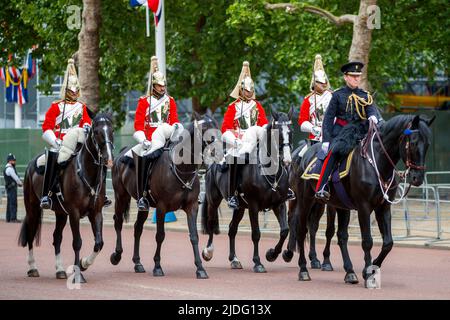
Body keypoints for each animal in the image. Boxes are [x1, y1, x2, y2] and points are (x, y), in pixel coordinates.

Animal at [18, 114, 114, 282]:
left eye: (112, 130)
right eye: (96, 132)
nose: (108, 159)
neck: (85, 172)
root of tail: (31, 164)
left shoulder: (96, 213)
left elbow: (99, 243)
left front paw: (84, 263)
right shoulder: (74, 213)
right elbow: (77, 242)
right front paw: (78, 274)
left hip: (61, 213)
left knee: (57, 237)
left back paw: (60, 270)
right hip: (32, 209)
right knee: (30, 234)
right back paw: (33, 268)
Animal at [111, 112, 219, 278]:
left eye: (217, 127)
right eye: (205, 129)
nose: (219, 152)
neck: (182, 168)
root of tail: (121, 154)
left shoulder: (192, 207)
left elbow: (194, 236)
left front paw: (200, 268)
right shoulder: (162, 207)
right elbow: (160, 235)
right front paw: (157, 266)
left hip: (143, 205)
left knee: (137, 228)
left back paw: (138, 263)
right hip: (120, 196)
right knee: (118, 222)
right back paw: (117, 255)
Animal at [201, 108, 294, 272]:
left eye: (291, 131)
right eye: (277, 132)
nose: (287, 160)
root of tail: (212, 165)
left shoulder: (279, 204)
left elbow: (284, 230)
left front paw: (272, 254)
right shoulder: (253, 206)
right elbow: (256, 233)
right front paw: (258, 262)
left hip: (239, 208)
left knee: (232, 228)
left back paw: (234, 259)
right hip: (214, 201)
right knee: (212, 223)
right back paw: (208, 251)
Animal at [284, 139, 336, 272]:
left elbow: (330, 230)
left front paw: (326, 262)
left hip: (317, 205)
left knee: (312, 226)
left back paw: (314, 258)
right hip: (296, 199)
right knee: (292, 219)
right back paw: (289, 252)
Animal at [292, 114, 432, 284]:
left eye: (428, 144)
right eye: (412, 142)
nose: (417, 178)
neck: (377, 162)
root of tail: (306, 153)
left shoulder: (383, 207)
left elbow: (388, 243)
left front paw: (374, 266)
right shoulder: (364, 208)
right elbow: (367, 241)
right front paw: (368, 271)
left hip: (340, 205)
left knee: (341, 236)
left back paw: (350, 272)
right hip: (306, 201)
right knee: (302, 230)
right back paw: (303, 270)